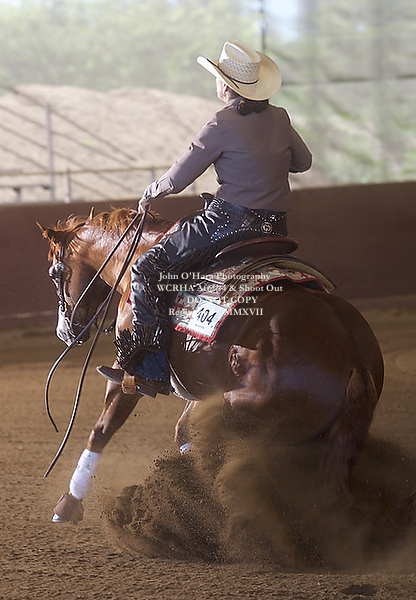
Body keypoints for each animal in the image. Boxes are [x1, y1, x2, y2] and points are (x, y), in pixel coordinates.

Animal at [40, 206, 384, 524]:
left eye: (55, 273)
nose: (64, 331)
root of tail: (353, 356)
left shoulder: (128, 371)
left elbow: (102, 429)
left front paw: (68, 503)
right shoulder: (202, 386)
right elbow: (182, 433)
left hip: (241, 409)